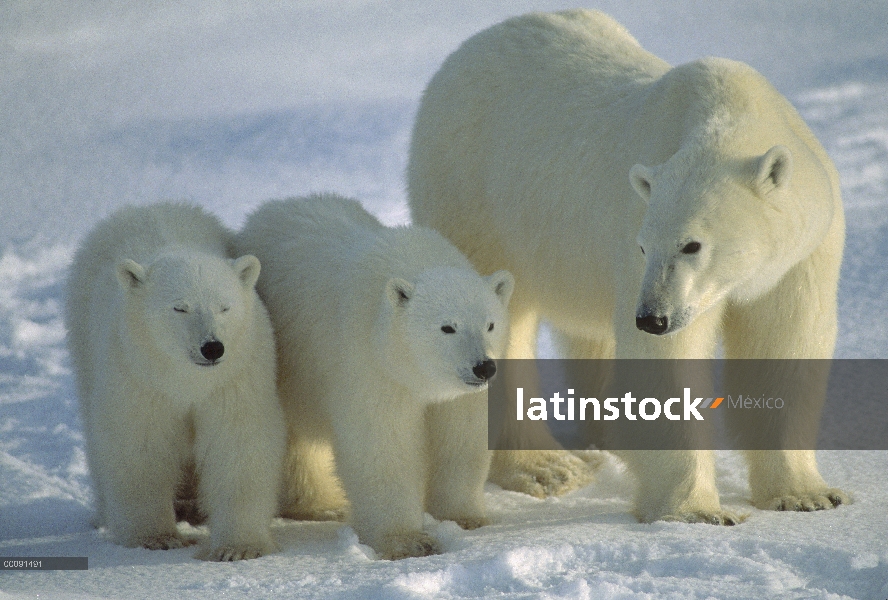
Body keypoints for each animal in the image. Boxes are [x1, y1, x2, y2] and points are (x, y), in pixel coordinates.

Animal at [67, 204, 286, 560]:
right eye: (180, 308)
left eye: (225, 307)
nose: (212, 347)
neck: (185, 377)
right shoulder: (139, 374)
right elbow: (142, 443)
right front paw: (156, 538)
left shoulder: (235, 376)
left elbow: (238, 440)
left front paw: (239, 547)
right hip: (84, 336)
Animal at [236, 195, 512, 560]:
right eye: (447, 327)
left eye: (490, 324)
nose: (483, 367)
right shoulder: (369, 361)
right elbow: (381, 441)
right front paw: (407, 540)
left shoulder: (460, 394)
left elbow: (461, 435)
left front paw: (465, 518)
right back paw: (316, 505)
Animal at [410, 10, 848, 524]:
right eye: (644, 247)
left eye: (692, 245)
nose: (652, 318)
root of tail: (464, 51)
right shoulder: (633, 238)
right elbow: (667, 363)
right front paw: (698, 511)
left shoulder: (804, 251)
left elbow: (787, 342)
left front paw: (807, 495)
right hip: (474, 198)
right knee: (498, 316)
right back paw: (547, 466)